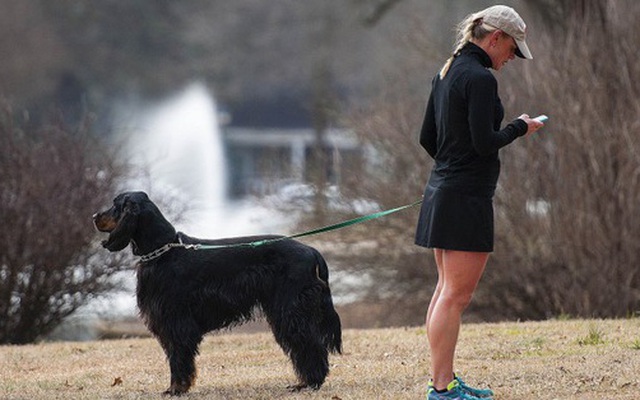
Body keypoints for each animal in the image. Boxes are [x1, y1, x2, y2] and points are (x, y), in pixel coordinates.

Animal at [92, 192, 342, 396]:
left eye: (115, 205)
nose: (94, 215)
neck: (163, 250)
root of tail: (312, 251)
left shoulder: (175, 320)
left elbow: (177, 357)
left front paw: (176, 389)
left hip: (290, 311)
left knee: (310, 345)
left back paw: (309, 383)